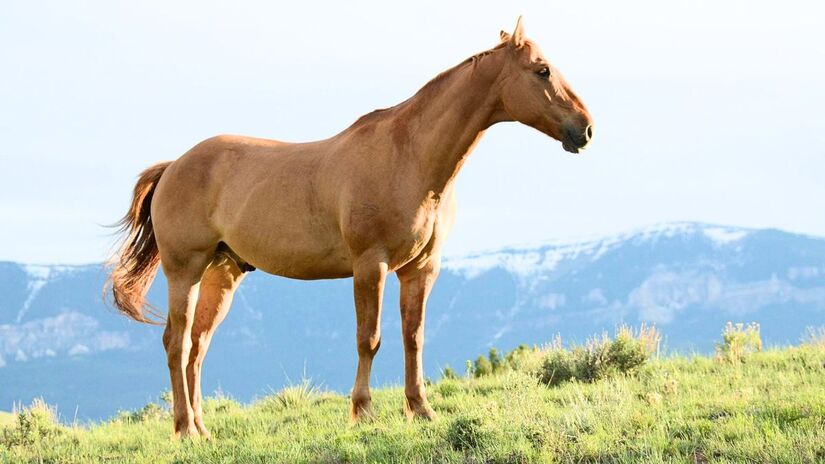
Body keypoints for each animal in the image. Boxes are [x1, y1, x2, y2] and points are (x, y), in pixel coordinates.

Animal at [107, 17, 593, 438]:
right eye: (542, 70)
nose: (585, 129)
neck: (409, 157)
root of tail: (174, 166)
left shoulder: (421, 269)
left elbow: (413, 338)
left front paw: (421, 410)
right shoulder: (370, 266)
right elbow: (369, 339)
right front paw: (363, 412)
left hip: (221, 274)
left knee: (197, 347)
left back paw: (202, 429)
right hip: (184, 270)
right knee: (176, 343)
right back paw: (185, 430)